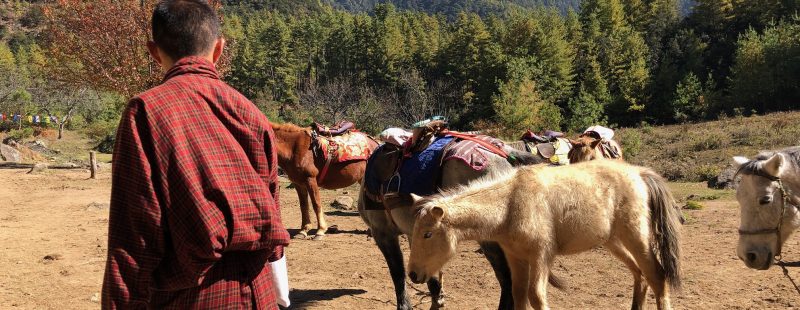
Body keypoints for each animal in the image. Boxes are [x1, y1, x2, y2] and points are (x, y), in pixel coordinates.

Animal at [356, 126, 552, 310]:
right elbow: (427, 267)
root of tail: (506, 154)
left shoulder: (382, 233)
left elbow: (397, 273)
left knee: (507, 279)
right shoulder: (416, 232)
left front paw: (405, 305)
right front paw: (437, 300)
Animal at [406, 160, 680, 310]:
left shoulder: (541, 256)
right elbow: (518, 295)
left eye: (428, 234)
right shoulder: (516, 258)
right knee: (640, 274)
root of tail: (639, 173)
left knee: (657, 275)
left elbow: (536, 296)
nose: (413, 274)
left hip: (635, 236)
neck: (511, 204)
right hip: (614, 242)